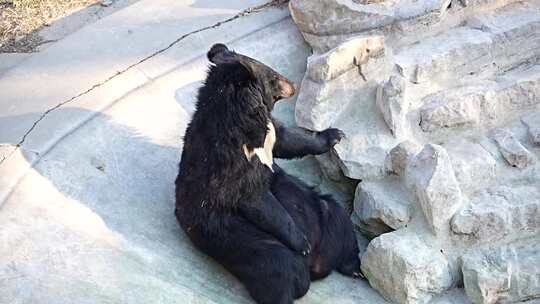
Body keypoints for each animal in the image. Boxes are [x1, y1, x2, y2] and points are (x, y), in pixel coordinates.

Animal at [177, 43, 360, 304]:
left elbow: (289, 140)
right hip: (249, 243)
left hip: (325, 213)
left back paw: (353, 268)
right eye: (273, 77)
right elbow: (257, 199)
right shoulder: (230, 162)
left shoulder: (269, 133)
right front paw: (302, 243)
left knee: (341, 222)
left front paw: (334, 135)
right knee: (281, 270)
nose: (292, 84)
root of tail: (318, 265)